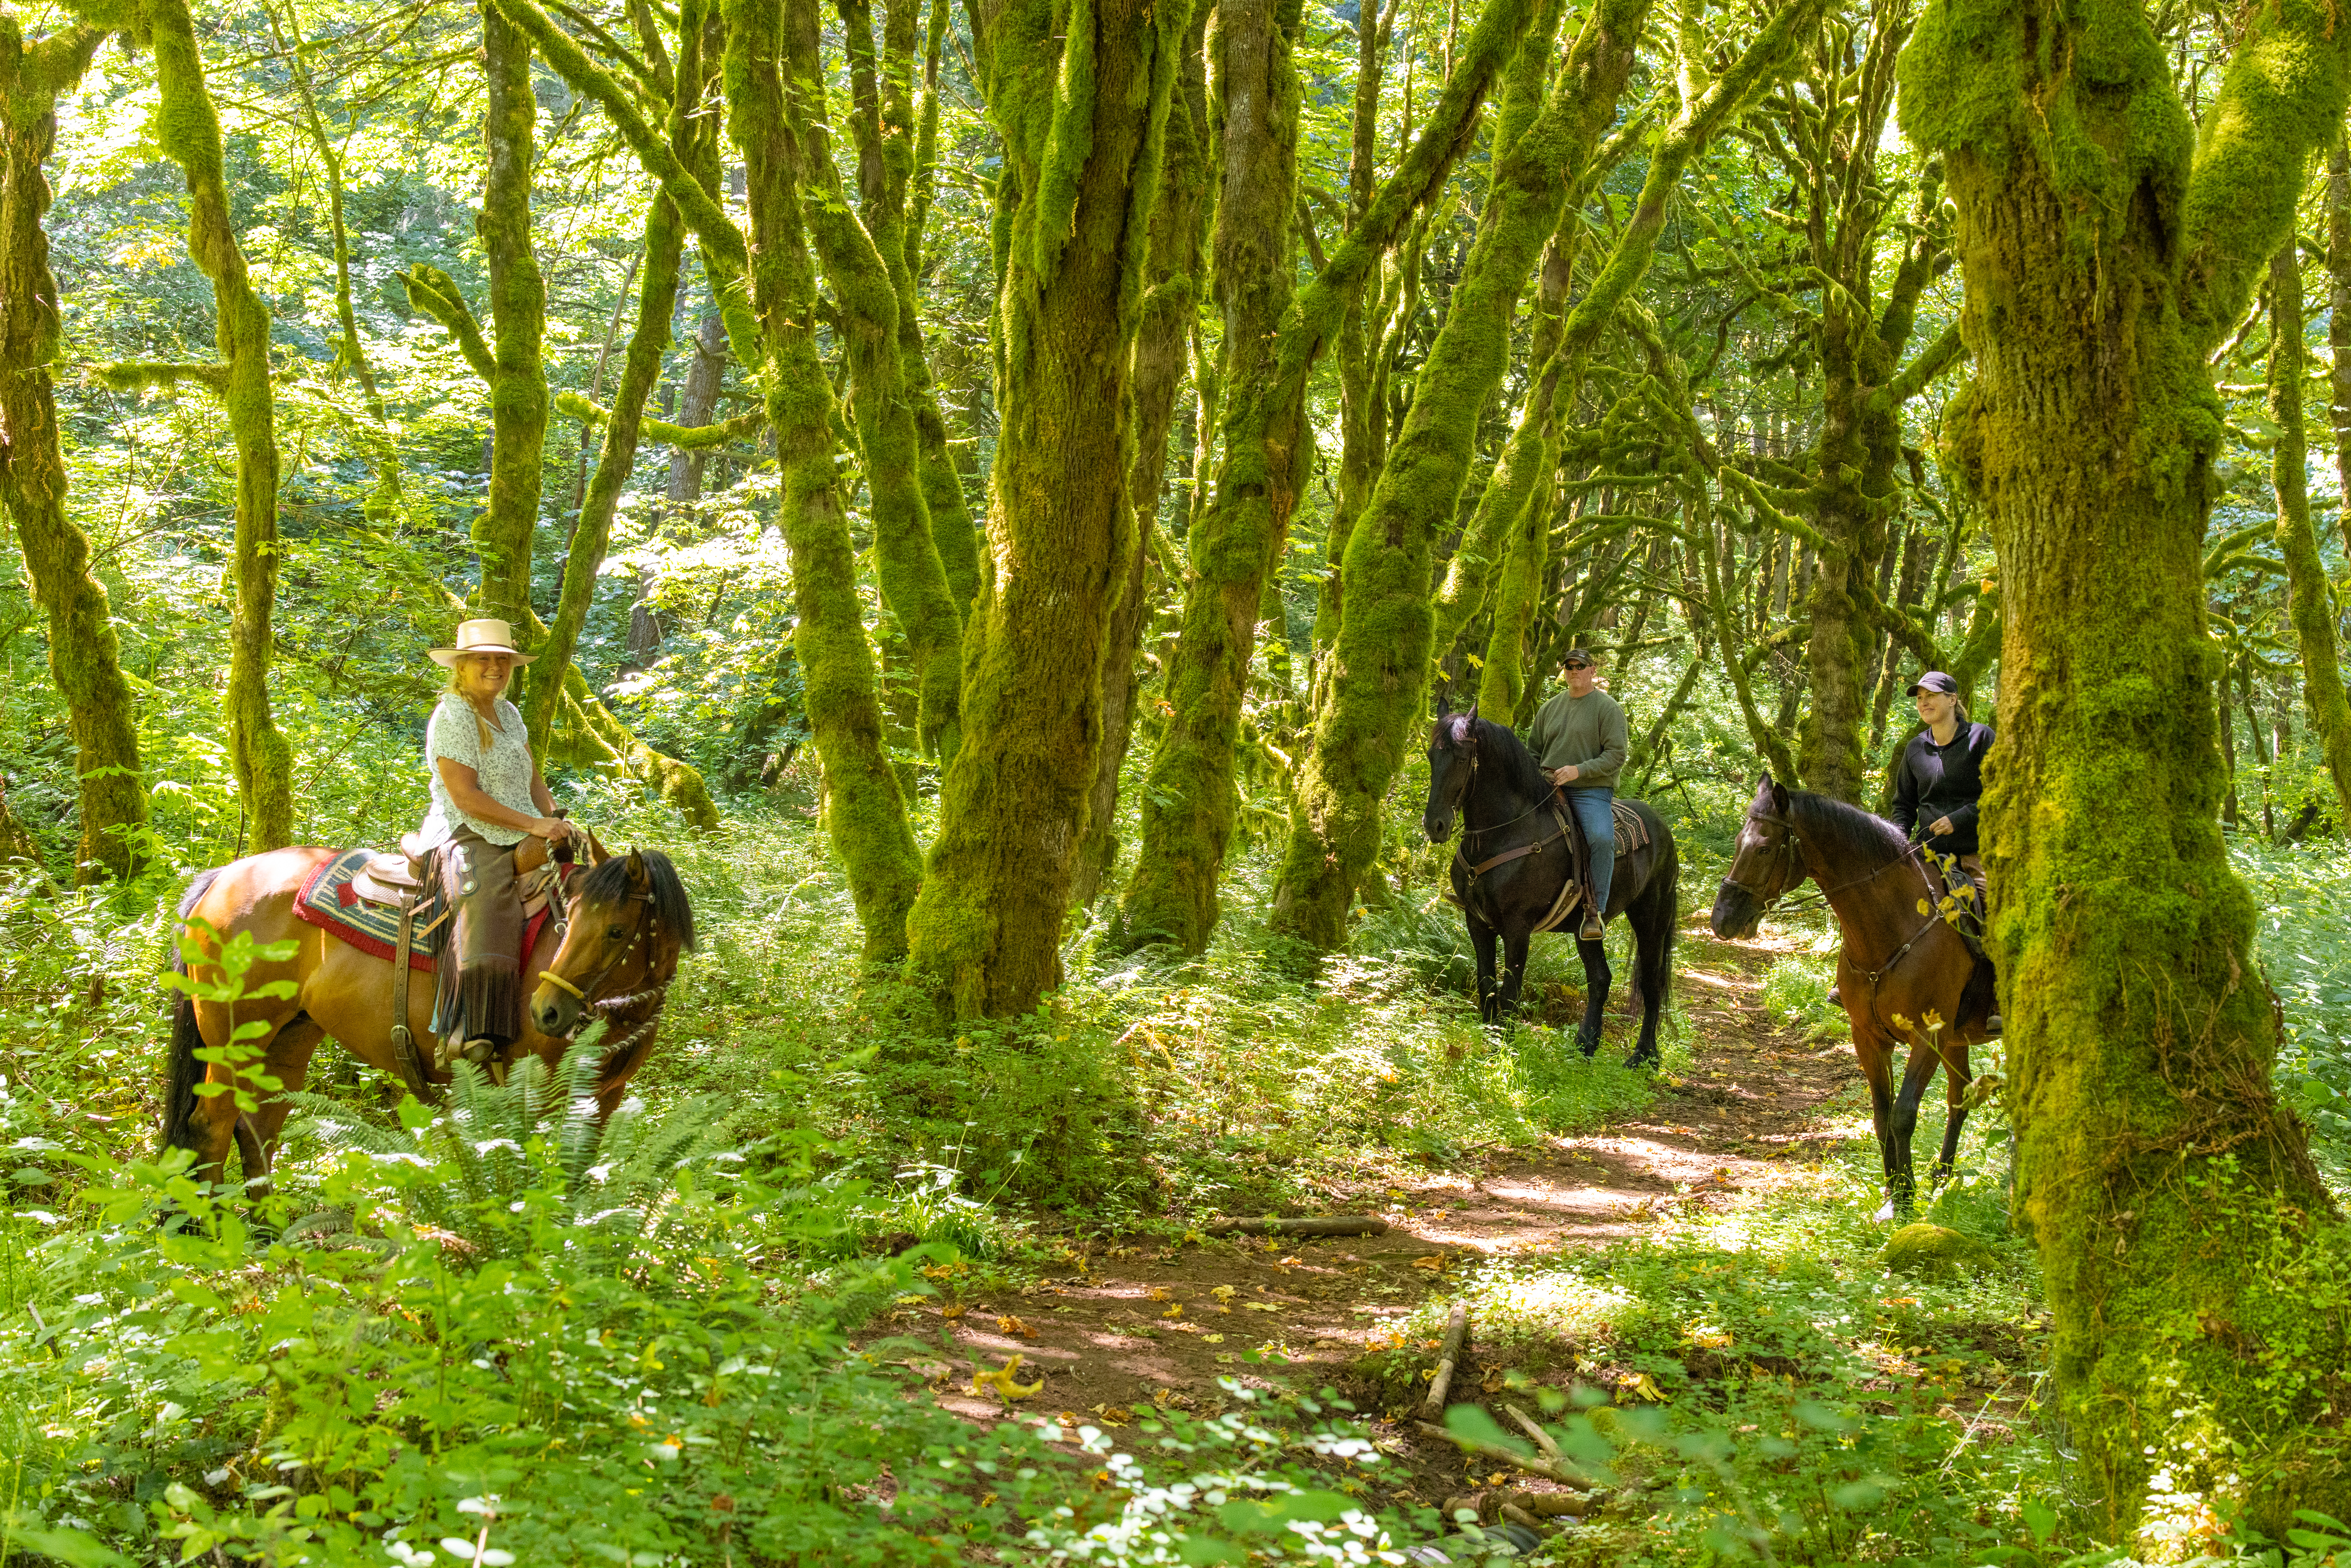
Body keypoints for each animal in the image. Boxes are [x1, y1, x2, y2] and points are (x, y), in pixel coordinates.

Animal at [161, 841, 691, 1194]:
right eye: (569, 921)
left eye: (616, 931)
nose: (547, 1011)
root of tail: (224, 879)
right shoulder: (533, 1094)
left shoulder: (605, 1095)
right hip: (229, 1040)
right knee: (211, 1126)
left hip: (287, 1039)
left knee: (259, 1130)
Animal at [1420, 710, 1683, 1067]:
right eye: (1431, 757)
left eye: (1462, 758)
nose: (1435, 825)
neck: (1505, 833)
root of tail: (1663, 829)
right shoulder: (1477, 923)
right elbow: (1487, 984)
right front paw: (1487, 1047)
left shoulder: (1517, 928)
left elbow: (1510, 991)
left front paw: (1505, 1054)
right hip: (1586, 929)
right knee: (1600, 979)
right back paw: (1584, 1048)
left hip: (1651, 918)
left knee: (1651, 982)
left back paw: (1644, 1057)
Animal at [1702, 780, 1993, 1222]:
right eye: (1739, 843)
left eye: (1766, 849)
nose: (1723, 921)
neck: (1896, 926)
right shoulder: (1869, 1036)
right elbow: (1882, 1115)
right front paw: (1895, 1195)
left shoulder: (1928, 1036)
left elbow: (1903, 1115)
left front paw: (1904, 1205)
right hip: (1957, 1042)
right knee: (1960, 1098)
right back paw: (1942, 1181)